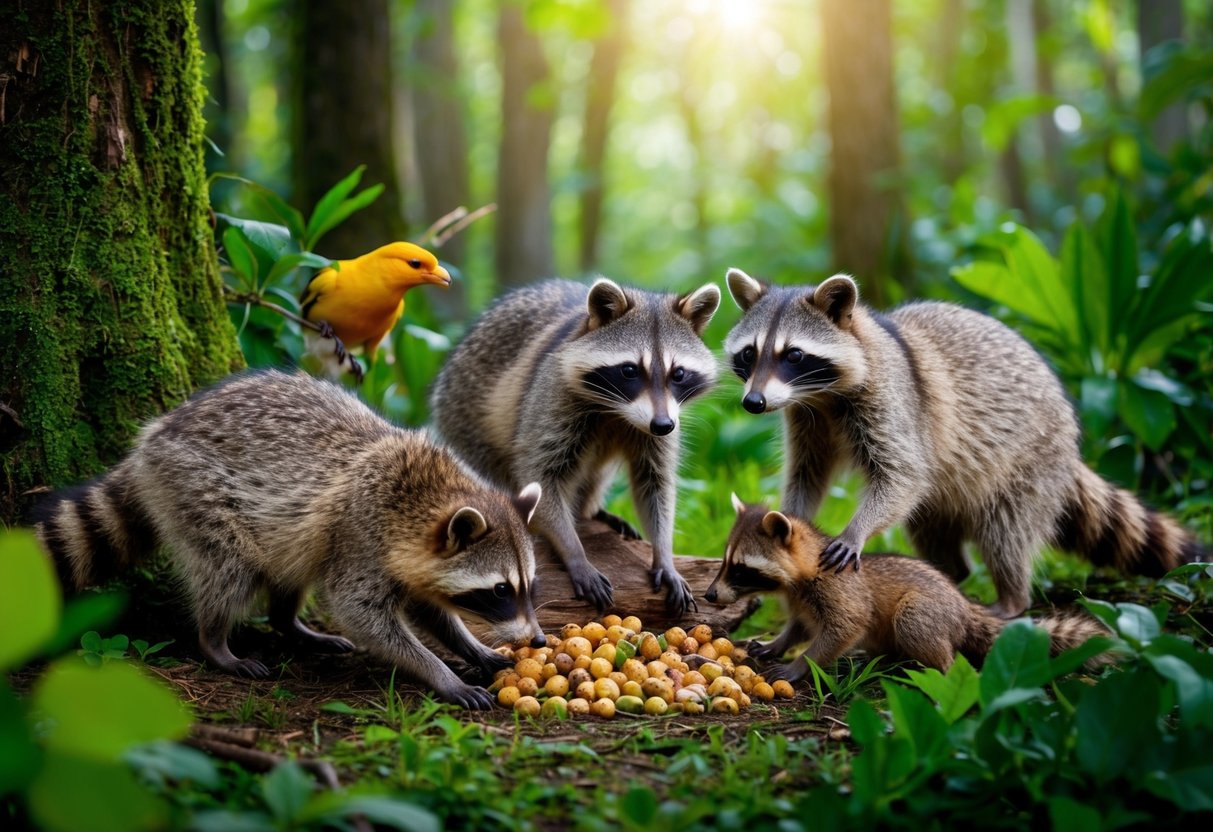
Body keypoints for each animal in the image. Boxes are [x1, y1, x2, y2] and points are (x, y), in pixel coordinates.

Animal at [34, 370, 544, 709]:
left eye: (530, 586)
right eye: (500, 590)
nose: (538, 639)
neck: (430, 494)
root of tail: (154, 436)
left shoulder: (403, 554)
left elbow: (427, 608)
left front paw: (469, 645)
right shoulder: (361, 535)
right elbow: (362, 614)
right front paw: (438, 672)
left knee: (290, 567)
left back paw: (288, 622)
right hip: (193, 489)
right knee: (230, 570)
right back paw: (215, 639)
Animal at [431, 278, 721, 615]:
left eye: (679, 374)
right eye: (630, 370)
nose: (662, 425)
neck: (617, 411)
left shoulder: (664, 424)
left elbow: (655, 483)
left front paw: (664, 554)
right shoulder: (553, 396)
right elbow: (540, 476)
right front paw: (575, 553)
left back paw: (590, 511)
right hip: (462, 412)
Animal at [705, 496, 1113, 679]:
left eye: (740, 570)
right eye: (724, 562)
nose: (710, 595)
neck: (800, 573)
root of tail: (963, 607)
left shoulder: (837, 590)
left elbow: (844, 627)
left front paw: (802, 664)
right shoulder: (802, 600)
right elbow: (801, 626)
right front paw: (780, 643)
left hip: (930, 610)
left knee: (914, 621)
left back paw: (939, 670)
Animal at [723, 268, 1207, 618]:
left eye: (794, 355)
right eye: (749, 353)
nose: (753, 403)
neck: (819, 397)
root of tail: (1070, 450)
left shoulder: (894, 403)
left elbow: (902, 474)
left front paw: (857, 529)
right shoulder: (806, 420)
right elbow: (808, 473)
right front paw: (790, 519)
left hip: (1030, 463)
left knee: (1005, 532)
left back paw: (1011, 597)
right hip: (951, 497)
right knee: (929, 528)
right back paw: (947, 577)